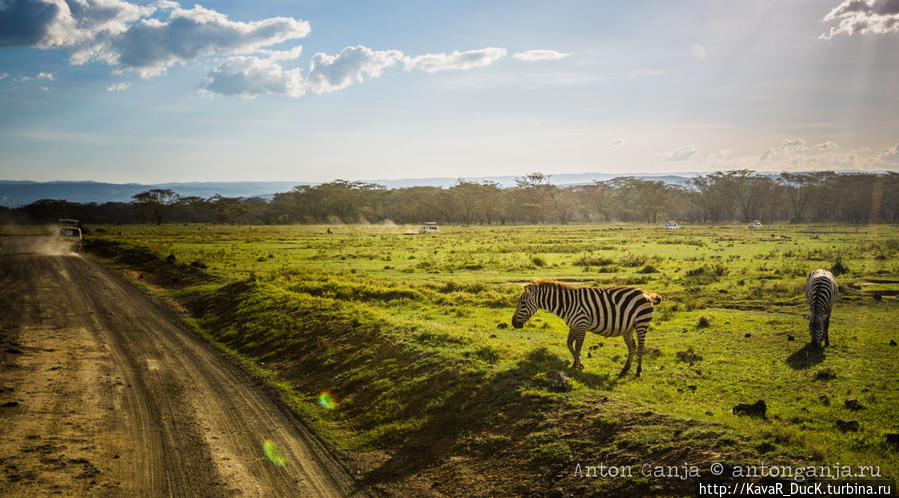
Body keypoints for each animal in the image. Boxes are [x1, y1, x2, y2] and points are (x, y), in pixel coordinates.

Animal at [512, 280, 660, 378]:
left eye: (522, 303)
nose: (513, 323)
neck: (567, 304)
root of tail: (646, 293)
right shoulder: (573, 325)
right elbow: (569, 344)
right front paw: (576, 364)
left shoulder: (581, 324)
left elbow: (578, 347)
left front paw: (578, 366)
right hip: (628, 328)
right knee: (632, 346)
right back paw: (625, 370)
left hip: (642, 323)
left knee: (640, 346)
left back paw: (638, 371)